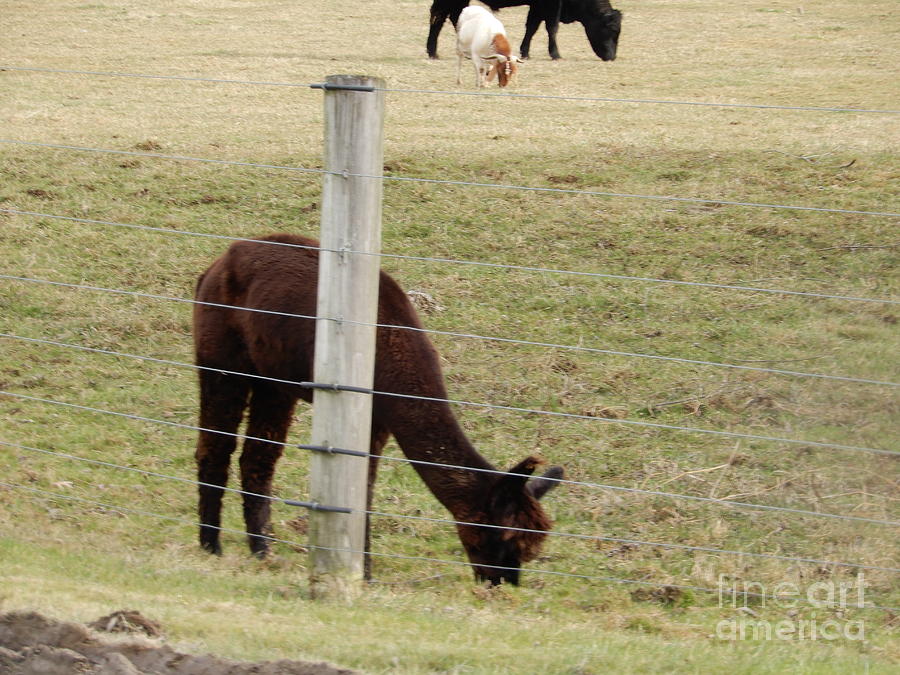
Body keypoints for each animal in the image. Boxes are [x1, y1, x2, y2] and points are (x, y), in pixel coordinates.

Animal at [195, 235, 564, 584]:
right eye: (504, 539)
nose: (501, 583)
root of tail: (221, 260)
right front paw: (361, 572)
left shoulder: (379, 421)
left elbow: (364, 495)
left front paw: (365, 574)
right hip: (221, 356)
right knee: (215, 447)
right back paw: (211, 546)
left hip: (273, 379)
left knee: (257, 458)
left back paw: (262, 550)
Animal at [428, 0, 624, 61]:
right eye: (612, 29)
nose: (612, 56)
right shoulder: (551, 6)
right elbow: (552, 28)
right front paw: (555, 53)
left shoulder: (537, 6)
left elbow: (531, 27)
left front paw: (525, 51)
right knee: (441, 18)